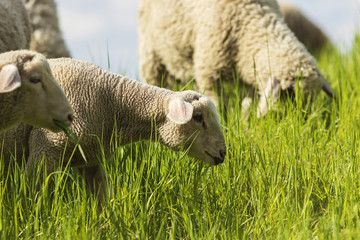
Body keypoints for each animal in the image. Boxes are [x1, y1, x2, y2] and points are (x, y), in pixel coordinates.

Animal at [25, 58, 226, 201]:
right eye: (198, 117)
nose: (223, 152)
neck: (113, 102)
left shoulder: (90, 157)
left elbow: (102, 198)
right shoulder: (43, 150)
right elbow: (34, 195)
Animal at [136, 0, 334, 117]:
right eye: (290, 92)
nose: (300, 120)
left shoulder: (249, 77)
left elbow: (247, 105)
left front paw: (246, 125)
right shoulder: (209, 73)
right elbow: (218, 105)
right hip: (151, 53)